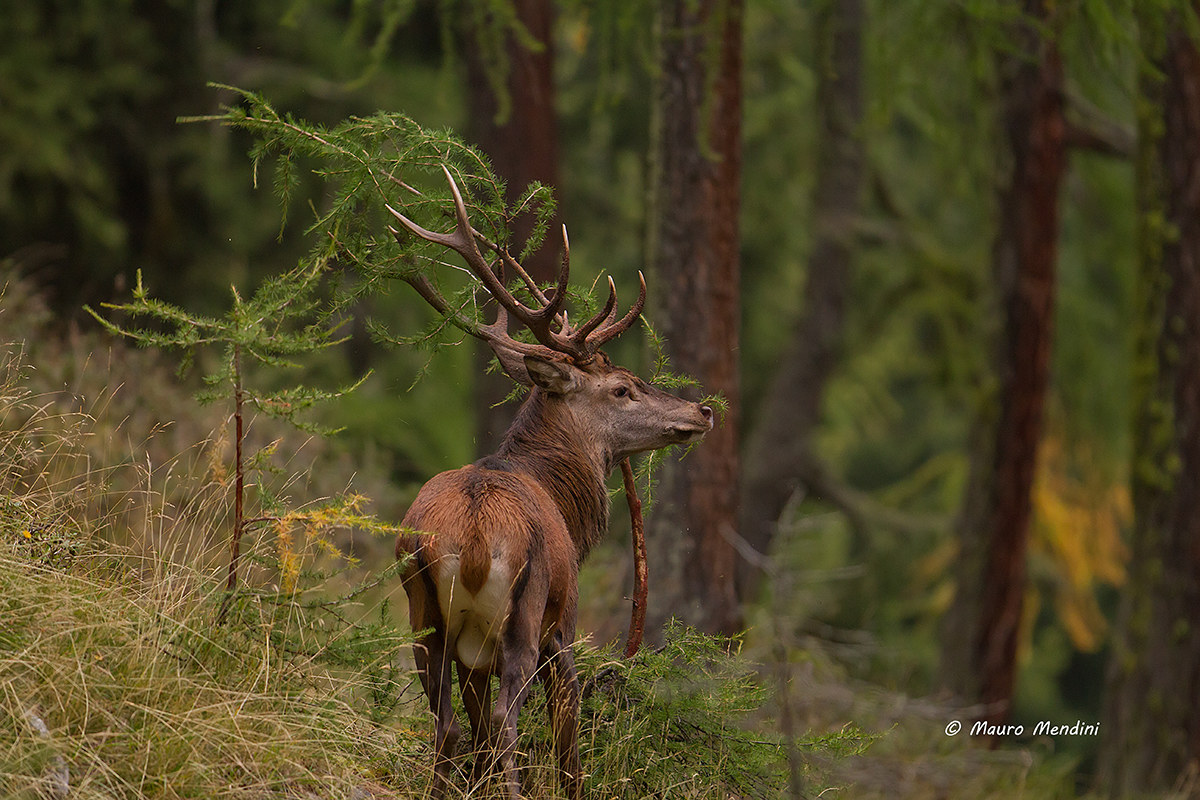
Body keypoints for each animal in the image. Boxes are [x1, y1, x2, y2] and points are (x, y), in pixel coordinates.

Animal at [388, 167, 713, 800]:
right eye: (622, 388)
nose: (702, 411)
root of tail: (472, 545)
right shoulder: (564, 624)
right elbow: (568, 744)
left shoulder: (468, 651)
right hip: (525, 608)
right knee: (503, 721)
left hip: (423, 611)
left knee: (451, 726)